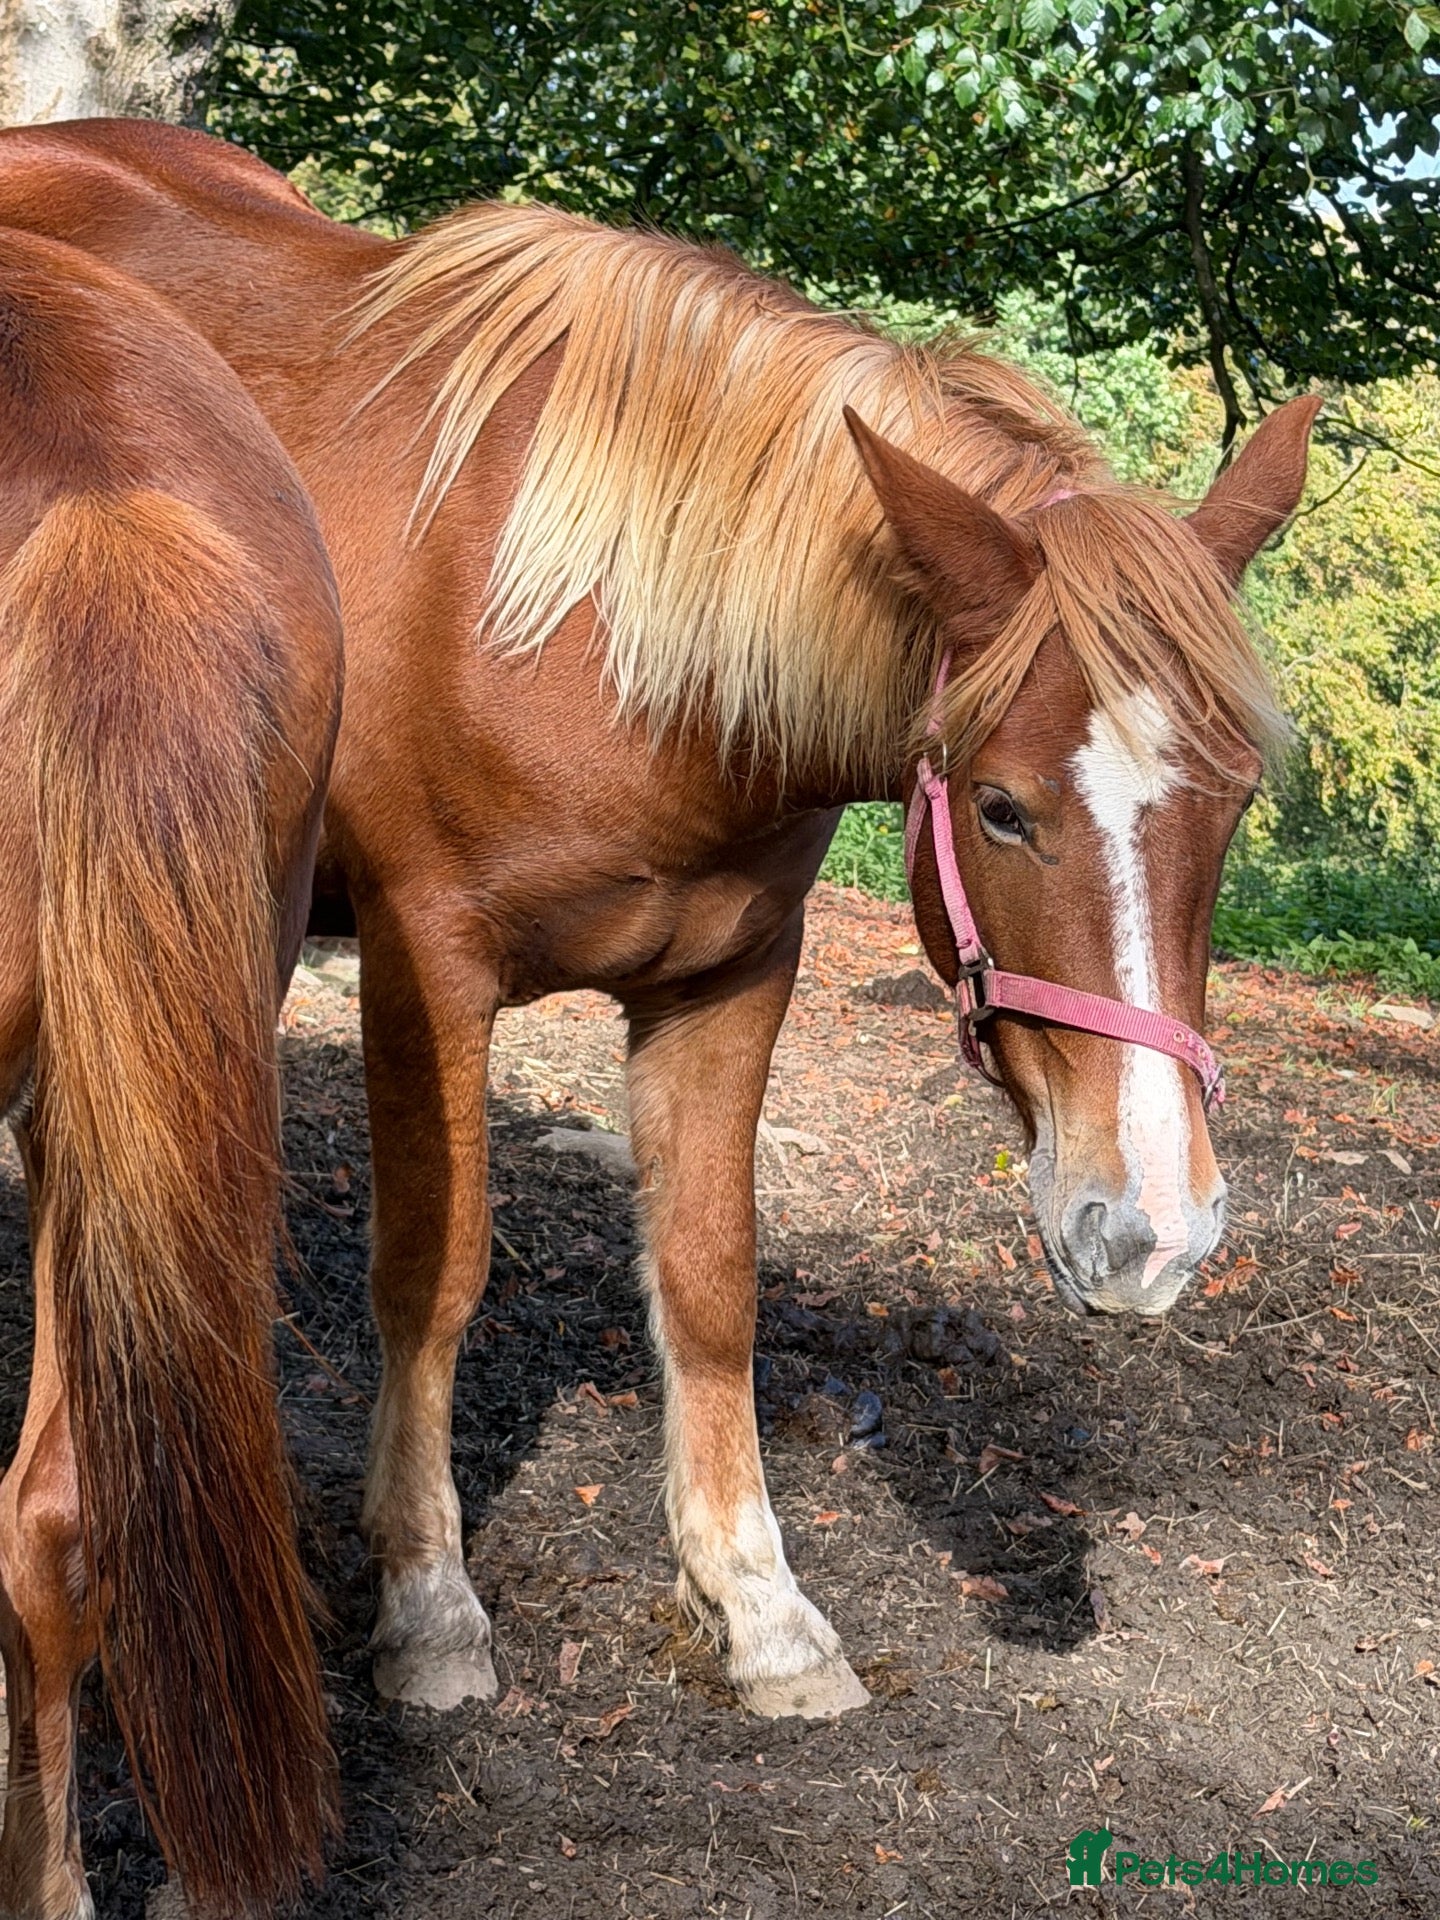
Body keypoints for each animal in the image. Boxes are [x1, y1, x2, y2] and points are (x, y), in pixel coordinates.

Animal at [0, 118, 1318, 1726]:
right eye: (1003, 808)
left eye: (1236, 802)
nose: (1156, 1235)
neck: (611, 638)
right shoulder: (426, 969)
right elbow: (434, 1275)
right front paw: (427, 1597)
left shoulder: (733, 980)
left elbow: (708, 1278)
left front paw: (755, 1599)